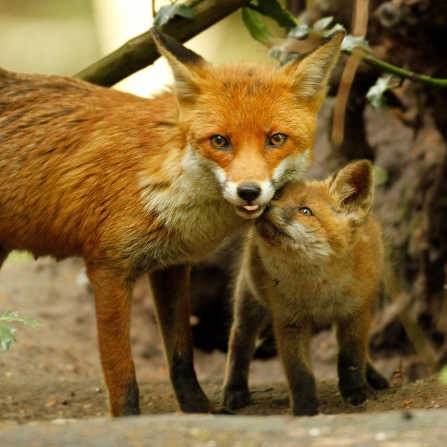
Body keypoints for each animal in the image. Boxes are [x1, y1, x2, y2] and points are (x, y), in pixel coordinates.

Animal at [0, 29, 344, 418]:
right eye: (219, 141)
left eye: (276, 139)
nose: (248, 191)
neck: (159, 184)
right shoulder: (107, 268)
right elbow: (121, 370)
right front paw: (127, 419)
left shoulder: (171, 266)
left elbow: (181, 355)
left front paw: (198, 409)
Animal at [222, 160, 390, 416]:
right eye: (278, 197)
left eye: (305, 211)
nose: (266, 206)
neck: (317, 291)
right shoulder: (290, 321)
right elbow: (299, 373)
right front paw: (305, 409)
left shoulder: (355, 313)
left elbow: (351, 357)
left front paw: (356, 391)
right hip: (250, 300)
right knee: (240, 341)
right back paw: (235, 389)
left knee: (362, 351)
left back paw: (372, 374)